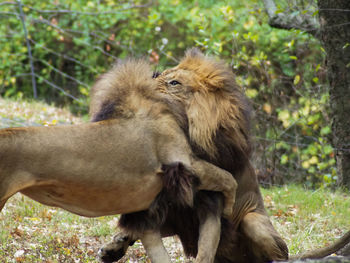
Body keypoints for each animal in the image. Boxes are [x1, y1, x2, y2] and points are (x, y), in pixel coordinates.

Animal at [96, 48, 350, 263]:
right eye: (158, 76)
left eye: (174, 83)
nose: (142, 83)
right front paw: (115, 244)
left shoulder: (212, 205)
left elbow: (205, 251)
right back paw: (112, 249)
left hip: (253, 221)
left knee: (277, 255)